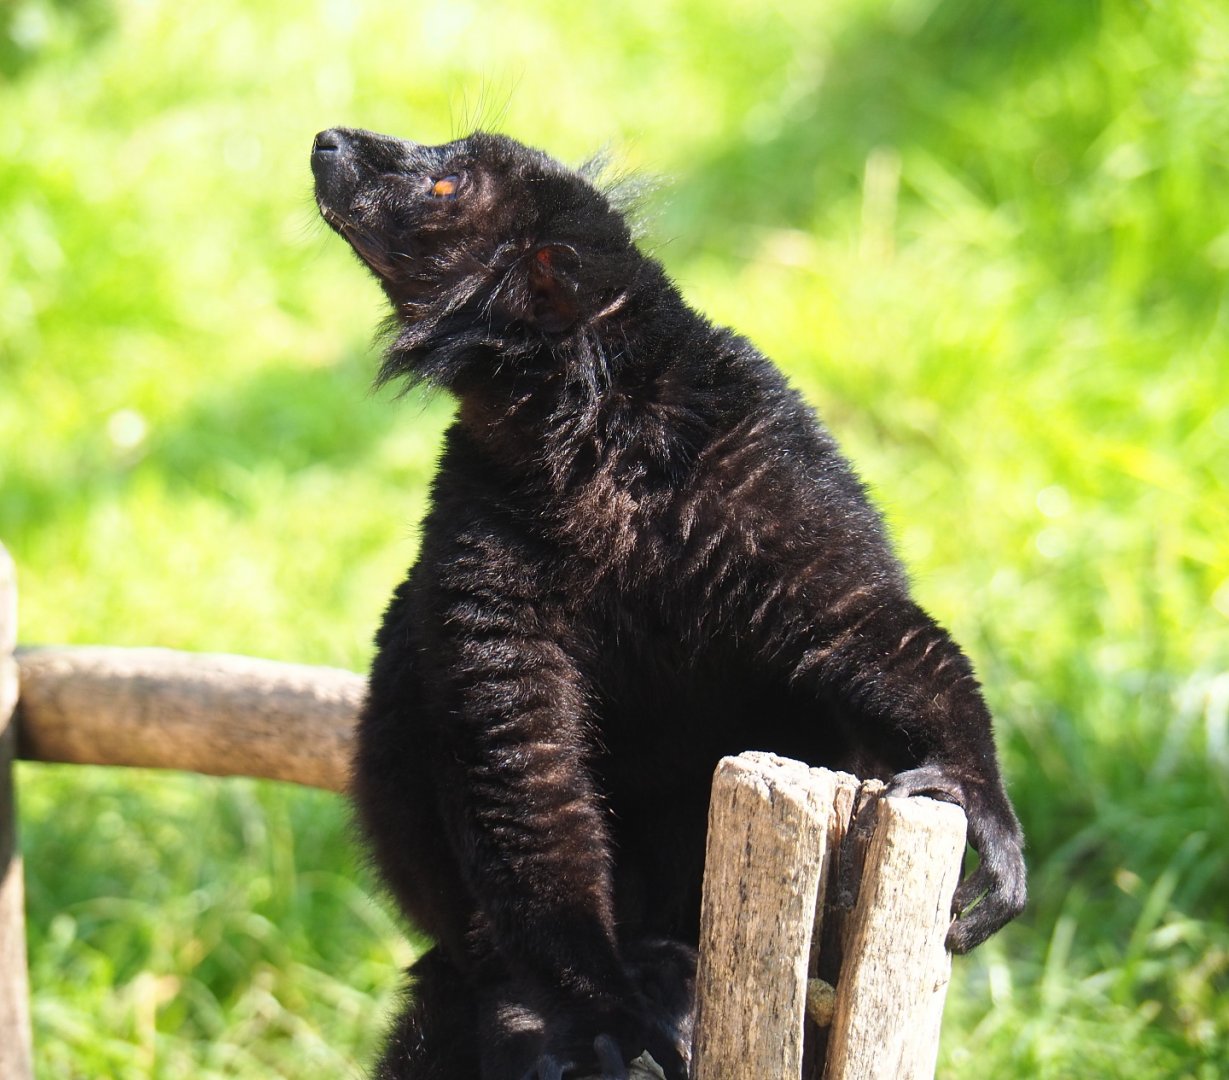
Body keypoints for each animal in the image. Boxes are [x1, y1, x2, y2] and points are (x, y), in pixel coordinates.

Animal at [311, 126, 1026, 1080]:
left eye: (444, 184)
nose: (328, 141)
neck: (586, 430)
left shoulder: (765, 448)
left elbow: (858, 623)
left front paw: (980, 800)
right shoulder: (479, 510)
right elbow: (518, 757)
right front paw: (604, 1006)